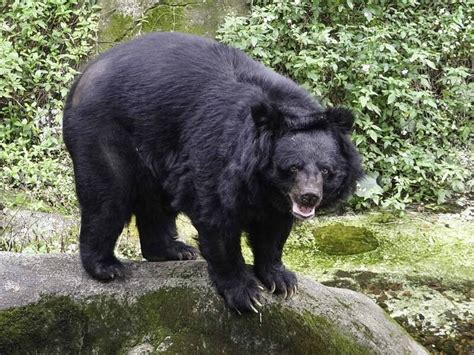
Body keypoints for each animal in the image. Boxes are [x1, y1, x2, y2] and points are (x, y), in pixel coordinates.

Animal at [61, 32, 362, 312]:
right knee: (108, 199)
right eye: (293, 167)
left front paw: (282, 280)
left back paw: (175, 251)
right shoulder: (217, 151)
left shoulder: (276, 198)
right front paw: (245, 294)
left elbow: (273, 230)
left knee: (156, 203)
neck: (262, 182)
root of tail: (82, 76)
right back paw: (107, 267)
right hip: (104, 133)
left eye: (326, 170)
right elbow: (216, 219)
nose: (309, 197)